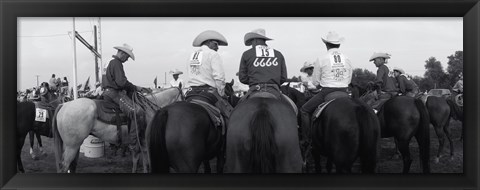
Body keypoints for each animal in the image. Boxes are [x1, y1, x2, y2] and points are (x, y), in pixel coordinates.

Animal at [50, 87, 182, 173]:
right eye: (183, 97)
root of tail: (63, 105)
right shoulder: (145, 142)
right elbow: (146, 161)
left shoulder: (142, 143)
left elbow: (140, 160)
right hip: (72, 146)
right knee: (64, 166)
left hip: (73, 146)